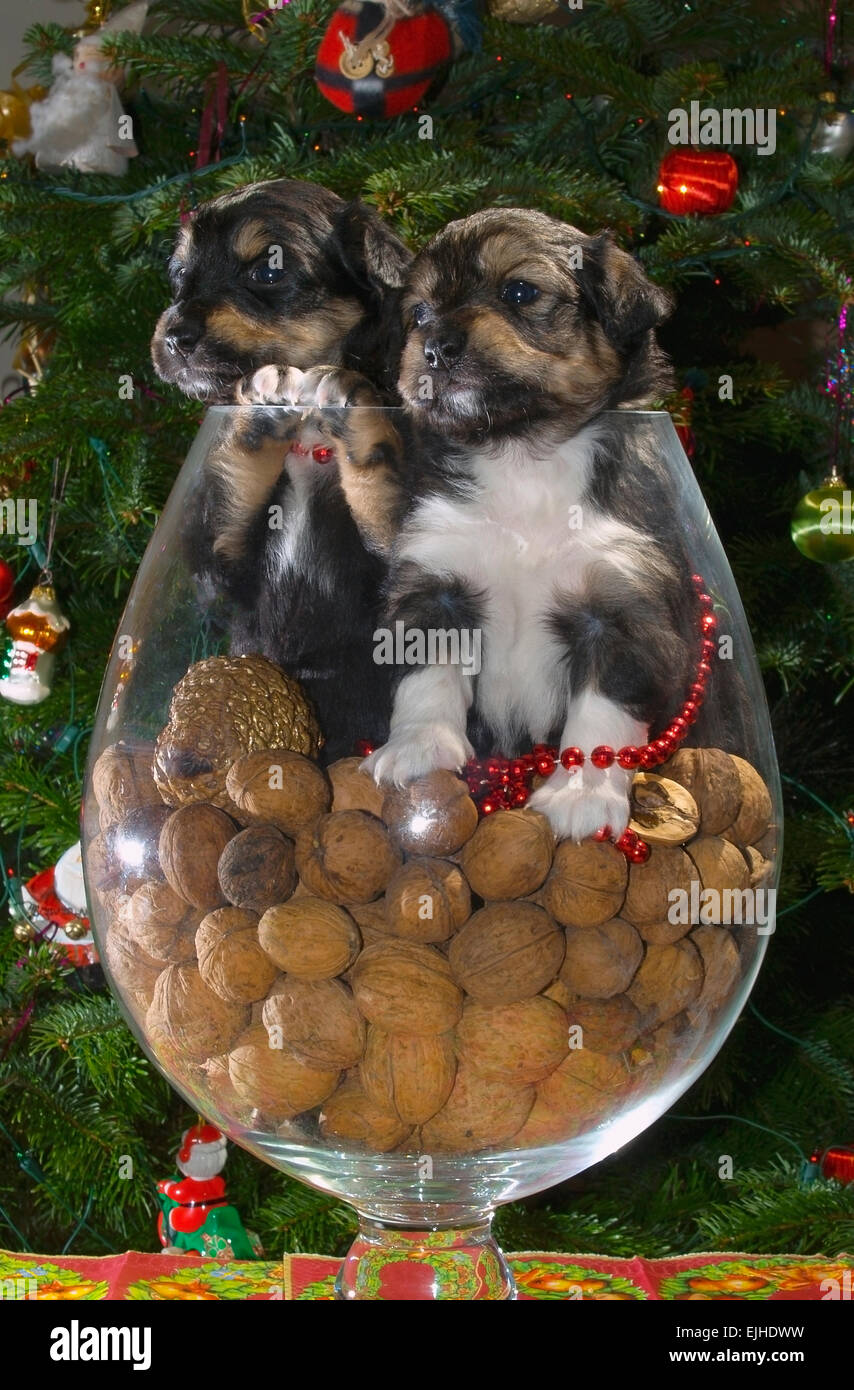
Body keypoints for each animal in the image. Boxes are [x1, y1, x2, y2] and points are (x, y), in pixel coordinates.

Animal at [152, 180, 414, 767]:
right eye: (179, 276)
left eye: (267, 272)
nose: (173, 337)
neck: (307, 444)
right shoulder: (219, 570)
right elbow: (233, 482)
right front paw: (259, 410)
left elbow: (383, 481)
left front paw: (351, 409)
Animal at [367, 205, 751, 834]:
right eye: (419, 313)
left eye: (521, 291)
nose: (435, 347)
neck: (522, 455)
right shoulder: (436, 584)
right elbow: (426, 679)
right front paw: (418, 748)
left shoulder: (620, 611)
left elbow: (602, 715)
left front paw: (579, 796)